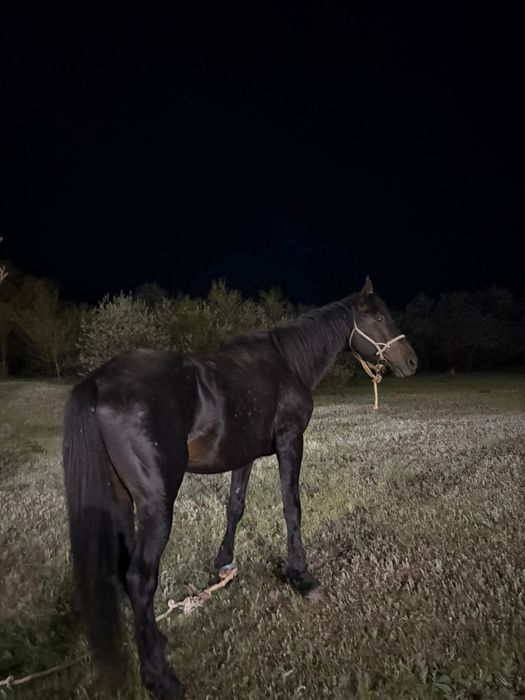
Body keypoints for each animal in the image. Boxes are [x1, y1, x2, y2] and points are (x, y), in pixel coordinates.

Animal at [63, 276, 417, 699]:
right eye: (377, 316)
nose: (411, 361)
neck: (286, 364)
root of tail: (97, 383)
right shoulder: (290, 441)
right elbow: (291, 506)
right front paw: (302, 577)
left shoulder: (243, 456)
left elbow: (235, 505)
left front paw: (224, 564)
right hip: (156, 503)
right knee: (139, 577)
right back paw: (159, 675)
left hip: (120, 498)